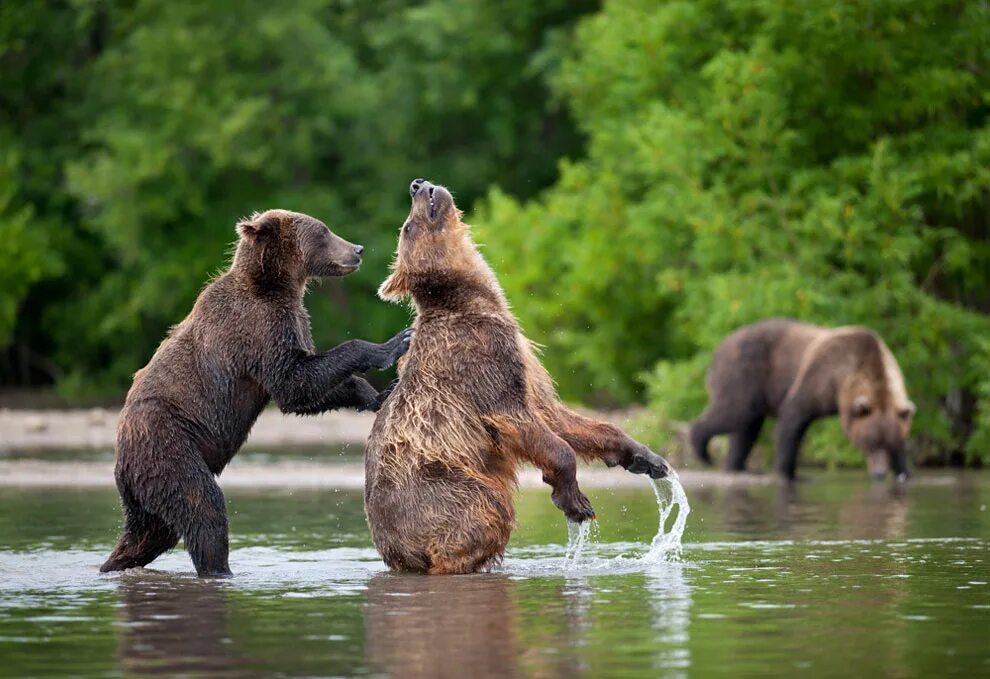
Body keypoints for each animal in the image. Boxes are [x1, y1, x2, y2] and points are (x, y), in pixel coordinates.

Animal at [101, 210, 410, 576]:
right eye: (323, 231)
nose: (358, 250)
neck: (276, 286)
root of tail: (121, 457)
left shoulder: (293, 322)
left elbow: (303, 392)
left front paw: (376, 395)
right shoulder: (257, 329)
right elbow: (295, 380)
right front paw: (393, 344)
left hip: (147, 486)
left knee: (151, 531)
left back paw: (114, 563)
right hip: (168, 444)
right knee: (202, 505)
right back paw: (220, 570)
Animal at [364, 179, 676, 572]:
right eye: (407, 227)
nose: (418, 185)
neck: (476, 299)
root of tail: (395, 551)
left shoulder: (526, 365)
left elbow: (558, 415)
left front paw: (645, 458)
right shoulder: (482, 361)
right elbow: (526, 424)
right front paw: (575, 502)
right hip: (442, 489)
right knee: (485, 510)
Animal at [688, 320, 916, 484]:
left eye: (889, 444)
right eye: (870, 442)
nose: (880, 473)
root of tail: (720, 346)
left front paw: (904, 472)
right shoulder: (819, 378)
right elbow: (792, 419)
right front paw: (790, 473)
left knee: (747, 427)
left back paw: (738, 466)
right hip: (744, 373)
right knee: (735, 412)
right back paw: (703, 451)